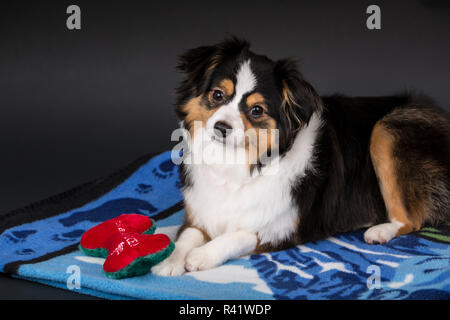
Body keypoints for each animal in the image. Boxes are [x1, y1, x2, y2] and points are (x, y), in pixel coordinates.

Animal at [152, 38, 450, 278]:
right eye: (217, 95)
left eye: (257, 110)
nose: (221, 127)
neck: (240, 165)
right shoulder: (199, 214)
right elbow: (187, 235)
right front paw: (170, 259)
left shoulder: (282, 230)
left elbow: (240, 234)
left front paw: (203, 255)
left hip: (387, 129)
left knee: (411, 220)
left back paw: (380, 230)